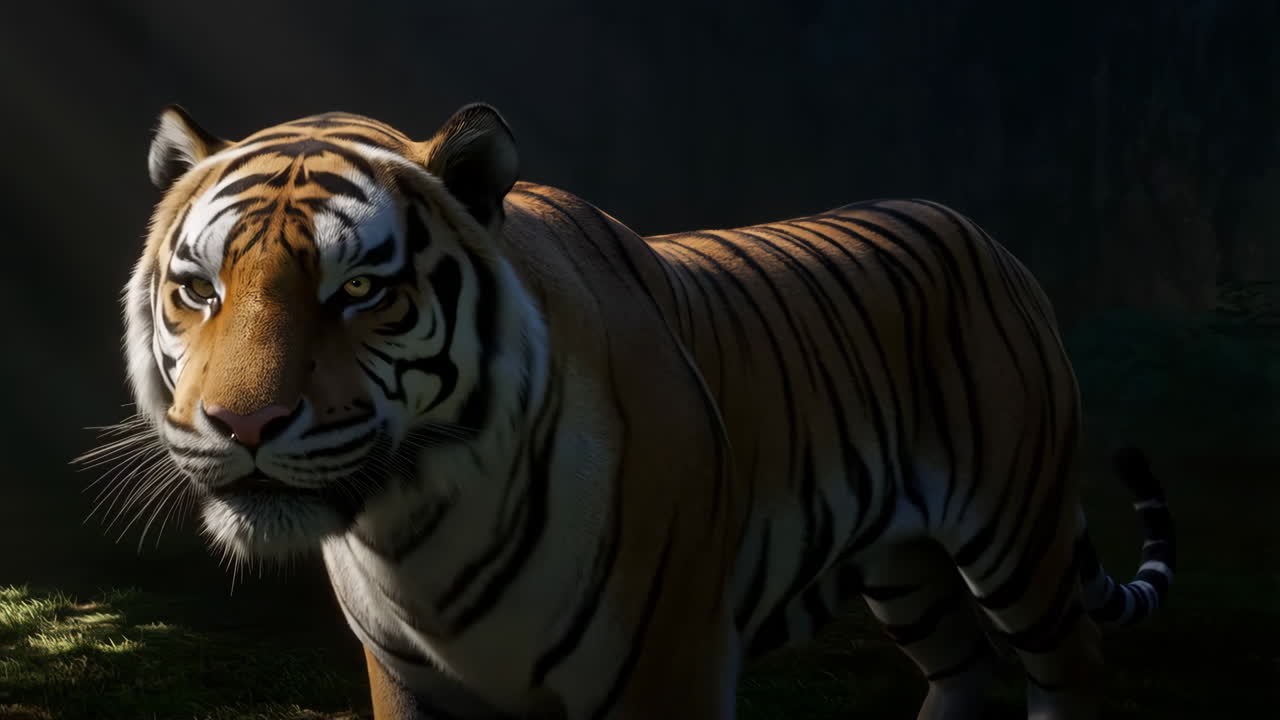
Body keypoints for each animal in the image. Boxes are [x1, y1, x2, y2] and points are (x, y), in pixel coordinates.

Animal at [112, 101, 1176, 720]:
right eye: (199, 290)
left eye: (360, 292)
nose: (242, 427)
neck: (415, 526)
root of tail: (977, 231)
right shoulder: (407, 682)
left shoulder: (666, 666)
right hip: (903, 564)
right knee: (960, 669)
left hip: (1018, 536)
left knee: (1069, 669)